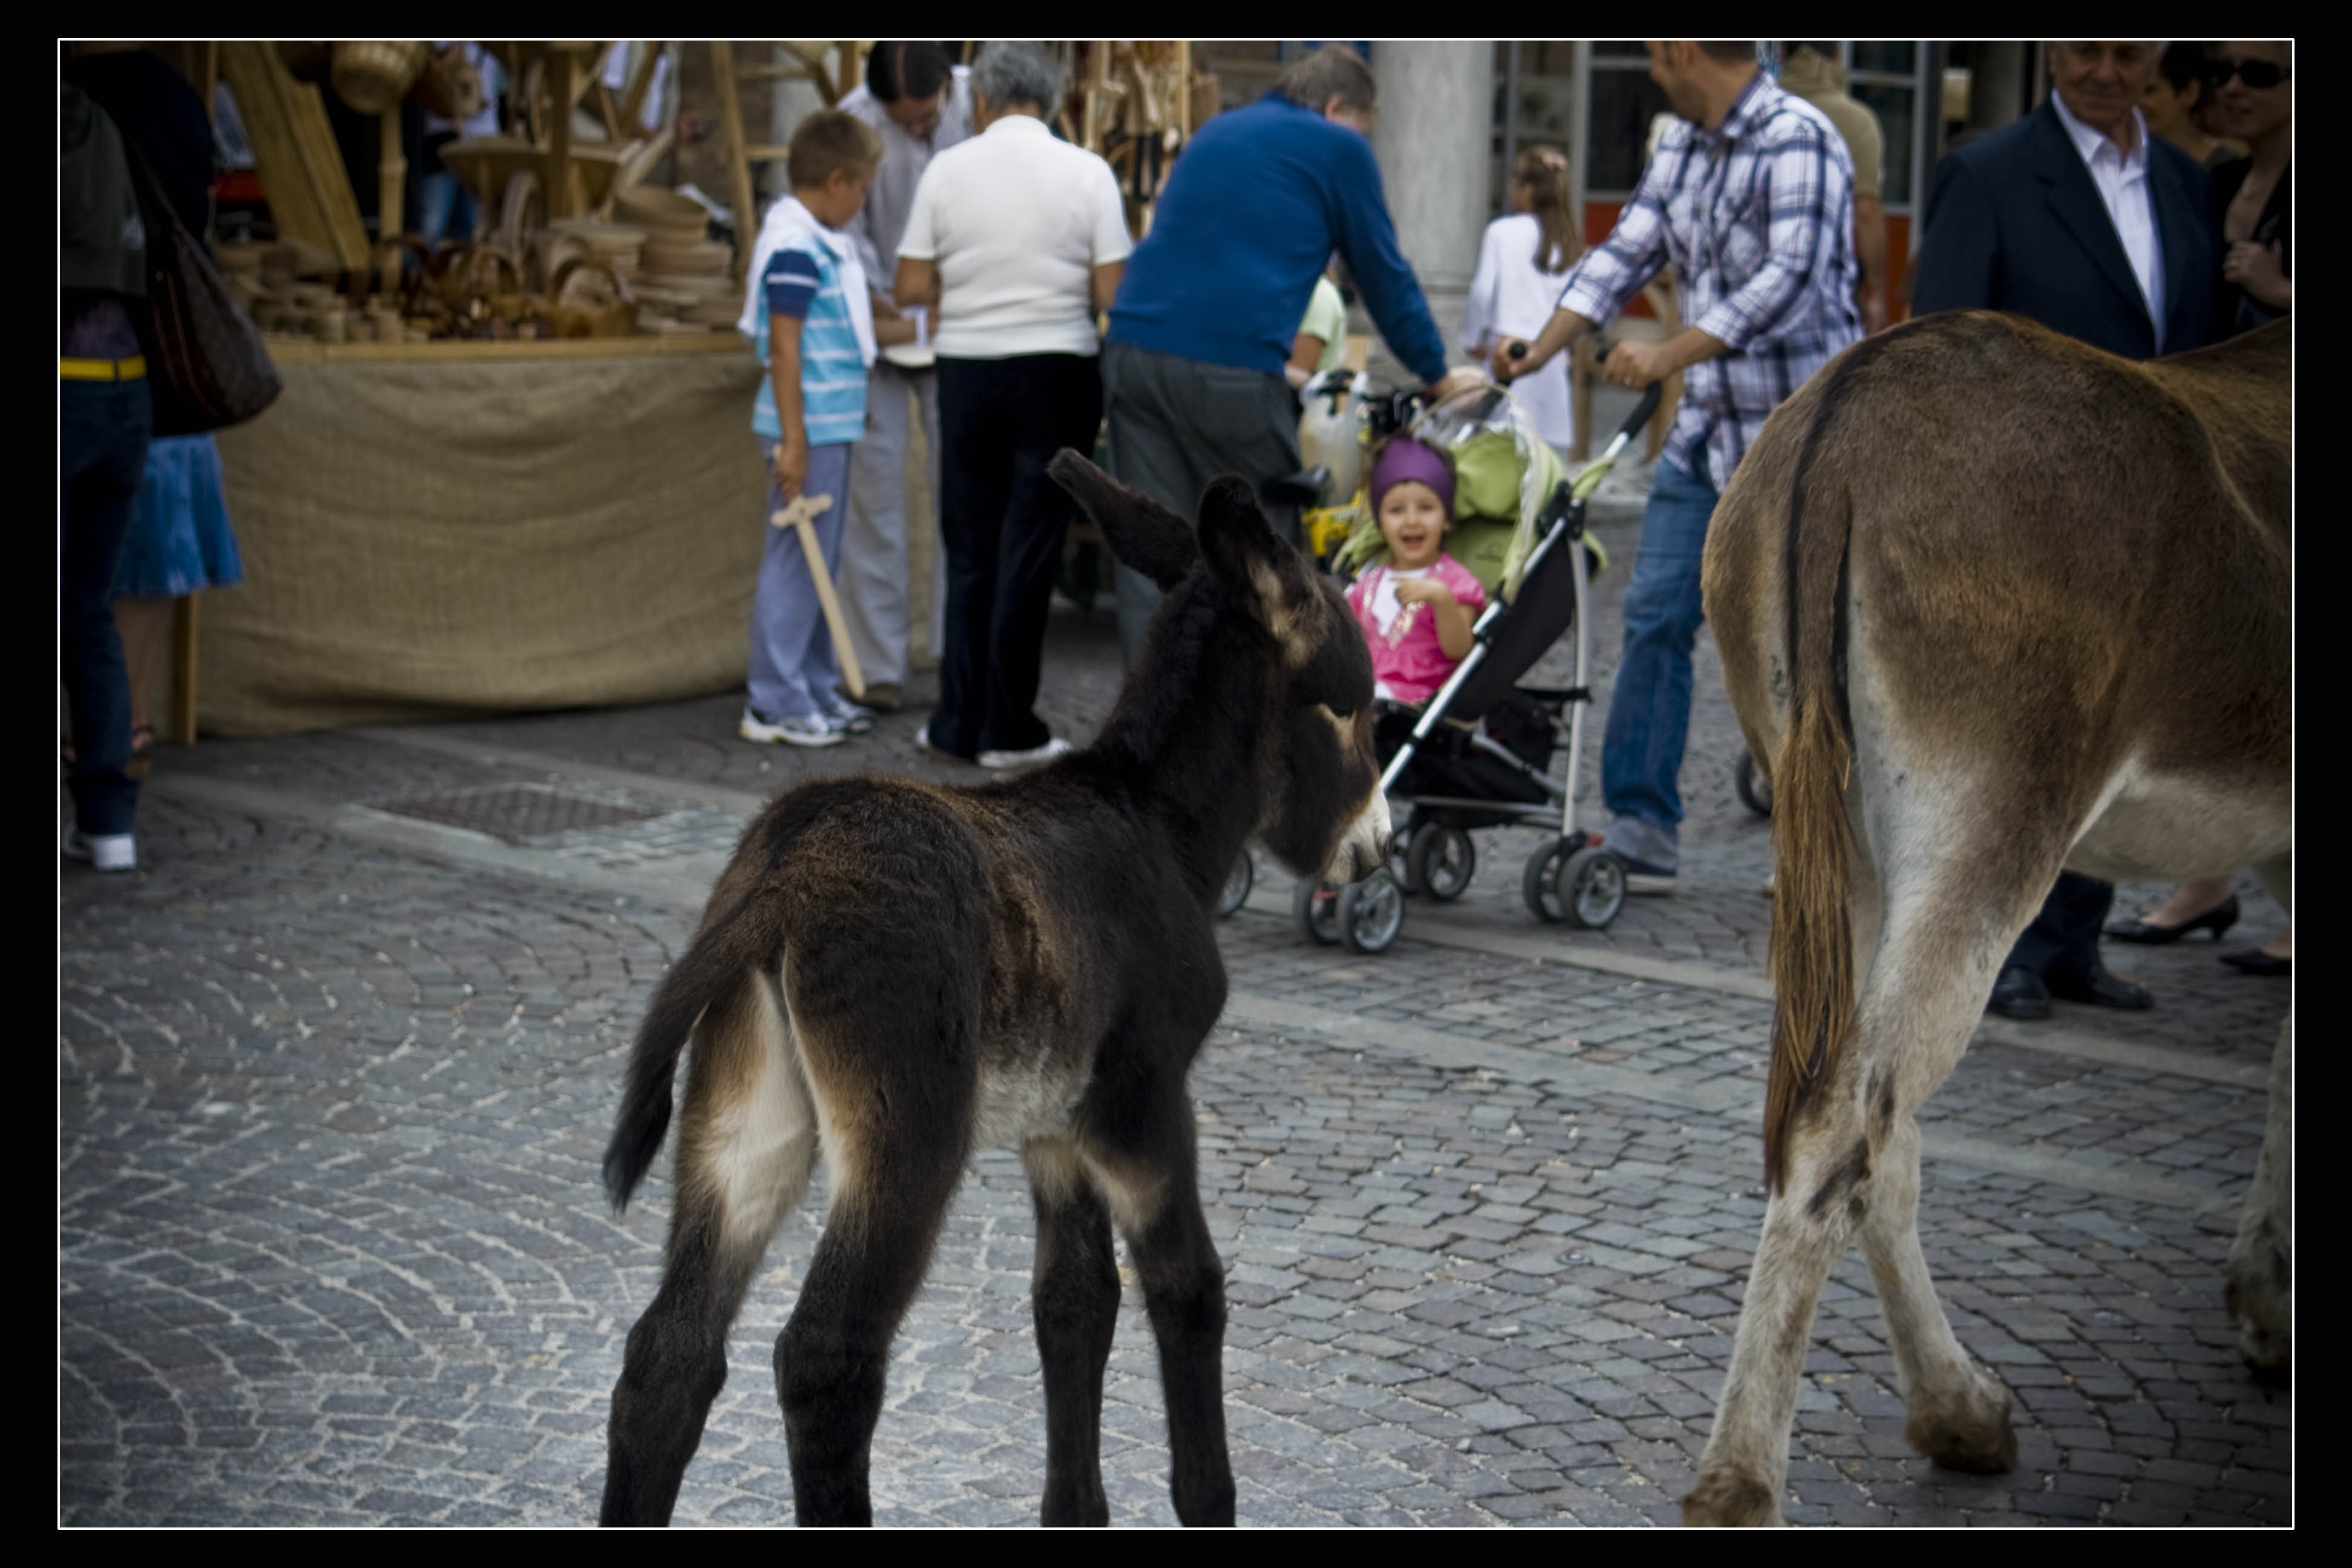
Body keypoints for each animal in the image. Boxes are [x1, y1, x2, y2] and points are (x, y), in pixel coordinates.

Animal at [597, 451, 1383, 1523]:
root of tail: (784, 874)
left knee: (669, 1354)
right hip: (908, 1130)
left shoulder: (1055, 1131)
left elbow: (1073, 1304)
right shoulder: (1146, 1104)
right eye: (1357, 709)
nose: (1375, 849)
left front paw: (1076, 1508)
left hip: (742, 1119)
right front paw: (1209, 1496)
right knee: (825, 1358)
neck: (1157, 819)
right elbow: (1189, 1291)